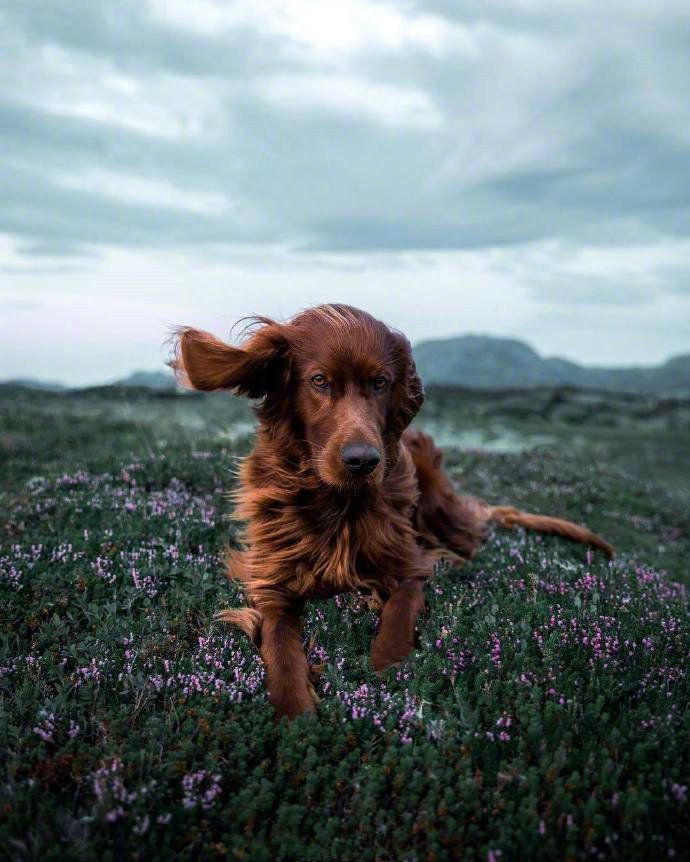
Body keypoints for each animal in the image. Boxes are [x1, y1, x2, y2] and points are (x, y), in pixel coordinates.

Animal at [169, 304, 612, 724]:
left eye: (380, 383)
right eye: (319, 380)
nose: (363, 461)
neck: (336, 501)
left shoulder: (409, 560)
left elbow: (401, 607)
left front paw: (387, 665)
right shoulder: (272, 578)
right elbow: (279, 641)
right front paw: (295, 709)